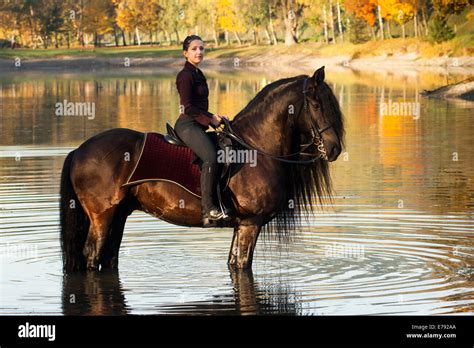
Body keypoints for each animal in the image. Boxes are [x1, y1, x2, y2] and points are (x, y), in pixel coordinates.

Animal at [61, 65, 344, 272]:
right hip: (102, 216)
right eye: (316, 105)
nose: (334, 149)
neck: (255, 146)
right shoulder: (251, 224)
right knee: (92, 256)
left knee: (108, 257)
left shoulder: (241, 226)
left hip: (119, 215)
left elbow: (234, 265)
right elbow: (243, 265)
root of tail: (79, 151)